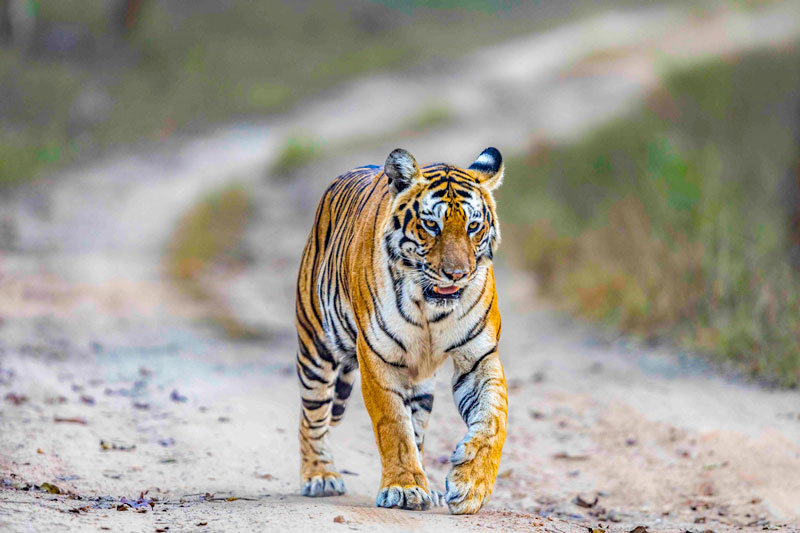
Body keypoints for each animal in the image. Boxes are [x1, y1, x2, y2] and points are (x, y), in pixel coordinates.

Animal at [295, 147, 508, 515]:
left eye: (473, 226)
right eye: (431, 225)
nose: (457, 274)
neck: (431, 309)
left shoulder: (479, 356)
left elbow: (493, 419)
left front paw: (471, 486)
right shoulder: (377, 356)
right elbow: (393, 425)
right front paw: (405, 488)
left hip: (421, 383)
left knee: (418, 425)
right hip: (316, 351)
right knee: (312, 419)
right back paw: (320, 477)